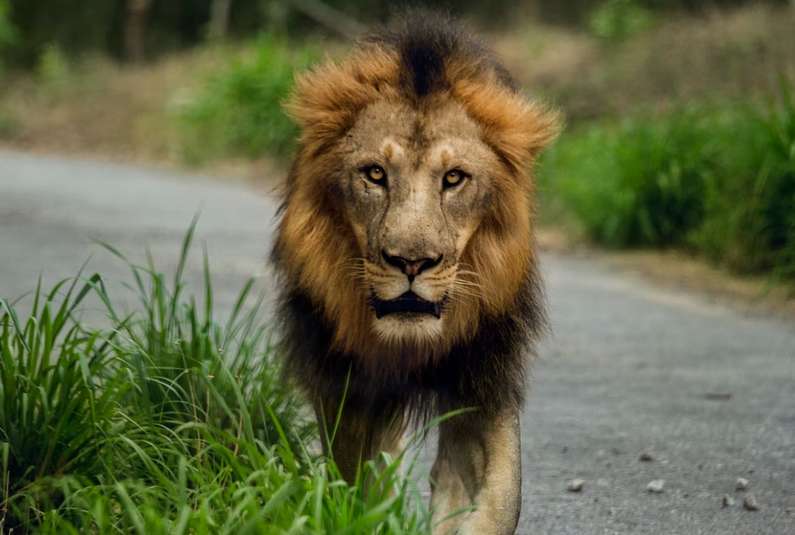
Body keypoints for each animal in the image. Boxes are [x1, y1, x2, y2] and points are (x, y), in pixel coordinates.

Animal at [272, 10, 559, 535]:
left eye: (454, 178)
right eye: (375, 174)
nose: (411, 262)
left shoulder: (483, 379)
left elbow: (496, 502)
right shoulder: (348, 390)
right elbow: (361, 486)